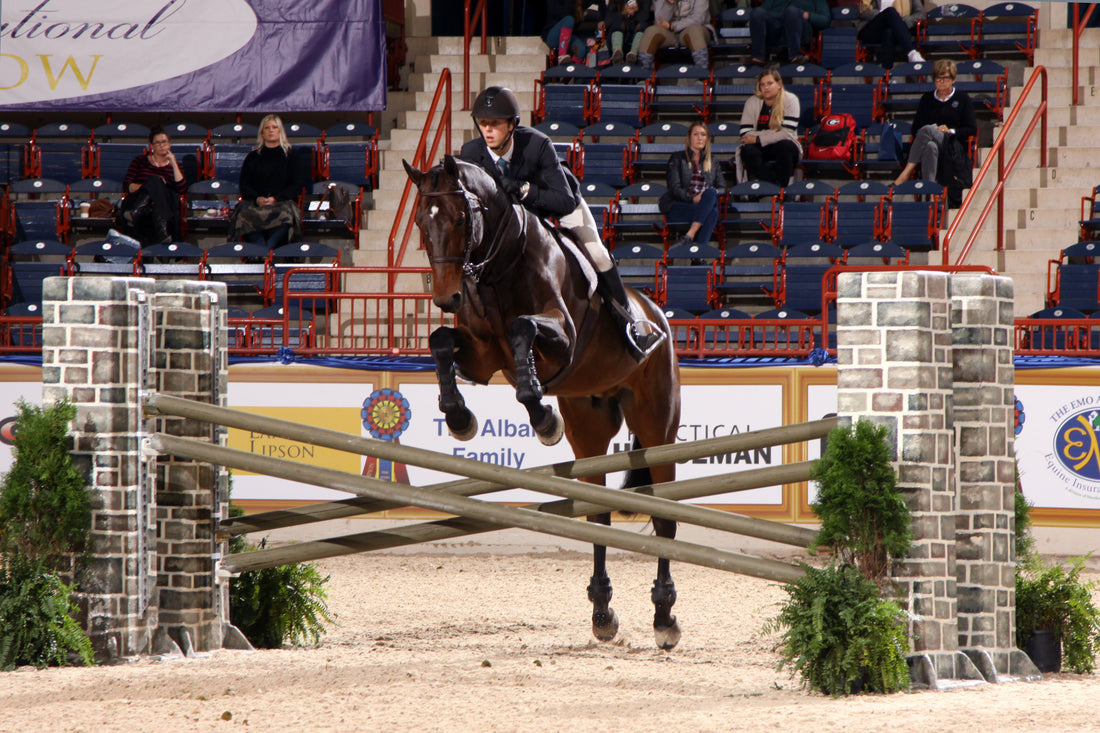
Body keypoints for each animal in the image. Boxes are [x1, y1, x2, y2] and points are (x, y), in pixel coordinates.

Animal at [400, 154, 682, 647]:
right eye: (421, 221)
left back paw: (664, 618)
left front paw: (543, 418)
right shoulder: (481, 354)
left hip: (656, 425)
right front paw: (459, 418)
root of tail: (656, 313)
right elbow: (440, 341)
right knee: (598, 514)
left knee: (663, 518)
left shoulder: (561, 338)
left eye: (461, 217)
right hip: (590, 430)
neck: (498, 267)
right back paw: (602, 612)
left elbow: (523, 330)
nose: (446, 296)